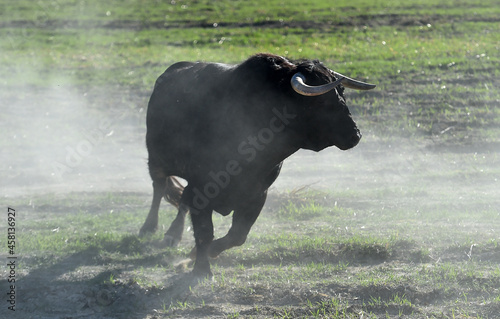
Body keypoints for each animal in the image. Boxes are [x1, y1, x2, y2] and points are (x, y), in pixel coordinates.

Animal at [139, 53, 374, 278]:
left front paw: (199, 253)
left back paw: (174, 233)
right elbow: (204, 231)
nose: (355, 135)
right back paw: (152, 228)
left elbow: (237, 235)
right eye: (322, 102)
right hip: (156, 159)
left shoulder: (257, 194)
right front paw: (202, 270)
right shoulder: (202, 187)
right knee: (159, 188)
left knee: (182, 199)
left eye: (342, 93)